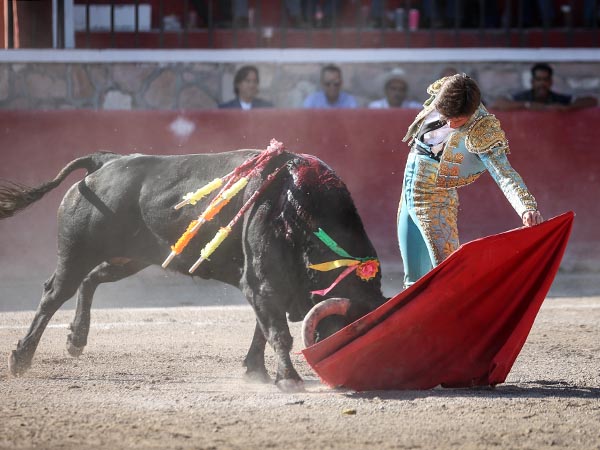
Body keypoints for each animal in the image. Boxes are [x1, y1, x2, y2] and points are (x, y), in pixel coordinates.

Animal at [0, 149, 386, 392]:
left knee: (90, 281)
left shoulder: (266, 289)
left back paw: (76, 340)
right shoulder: (261, 283)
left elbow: (262, 329)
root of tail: (107, 161)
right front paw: (288, 378)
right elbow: (277, 332)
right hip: (77, 252)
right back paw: (21, 358)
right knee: (54, 293)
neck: (300, 209)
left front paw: (256, 372)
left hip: (132, 259)